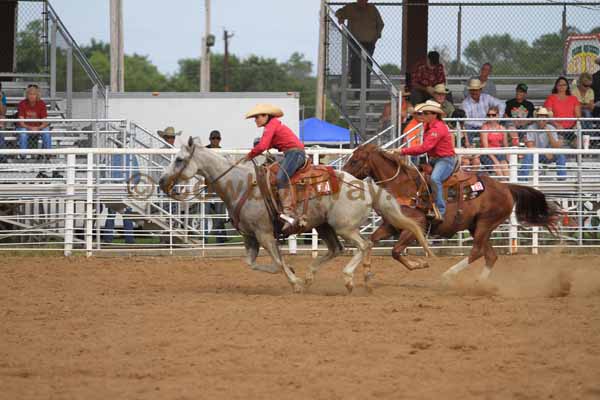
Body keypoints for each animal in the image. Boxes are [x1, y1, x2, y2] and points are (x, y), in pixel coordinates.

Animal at [159, 138, 432, 294]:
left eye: (179, 160)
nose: (162, 181)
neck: (241, 184)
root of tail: (365, 186)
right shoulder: (250, 237)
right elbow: (254, 263)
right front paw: (295, 273)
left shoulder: (264, 234)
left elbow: (277, 262)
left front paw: (295, 282)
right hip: (325, 227)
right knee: (337, 249)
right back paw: (325, 276)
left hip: (343, 226)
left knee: (364, 245)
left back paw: (348, 279)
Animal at [344, 145, 560, 282]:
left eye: (355, 160)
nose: (342, 174)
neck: (402, 186)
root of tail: (506, 187)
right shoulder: (390, 225)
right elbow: (369, 242)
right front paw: (356, 273)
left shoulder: (415, 226)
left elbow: (395, 251)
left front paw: (420, 265)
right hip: (477, 226)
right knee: (490, 255)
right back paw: (480, 283)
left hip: (485, 223)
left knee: (477, 251)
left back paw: (448, 275)